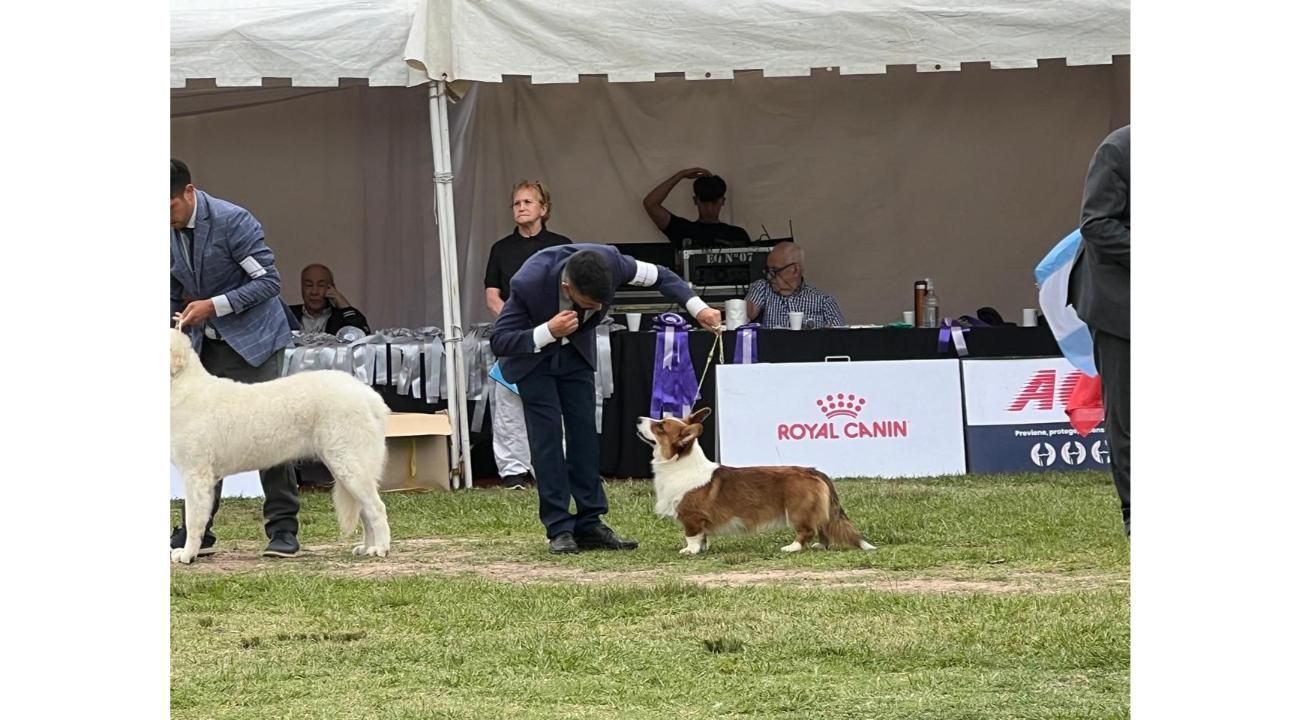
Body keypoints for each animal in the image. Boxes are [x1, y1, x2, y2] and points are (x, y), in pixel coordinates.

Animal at [172, 327, 395, 564]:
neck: (181, 386)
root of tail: (370, 396)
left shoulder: (196, 474)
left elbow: (193, 519)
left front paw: (187, 554)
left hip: (350, 465)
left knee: (377, 508)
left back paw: (381, 548)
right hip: (346, 467)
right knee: (366, 511)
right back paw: (367, 547)